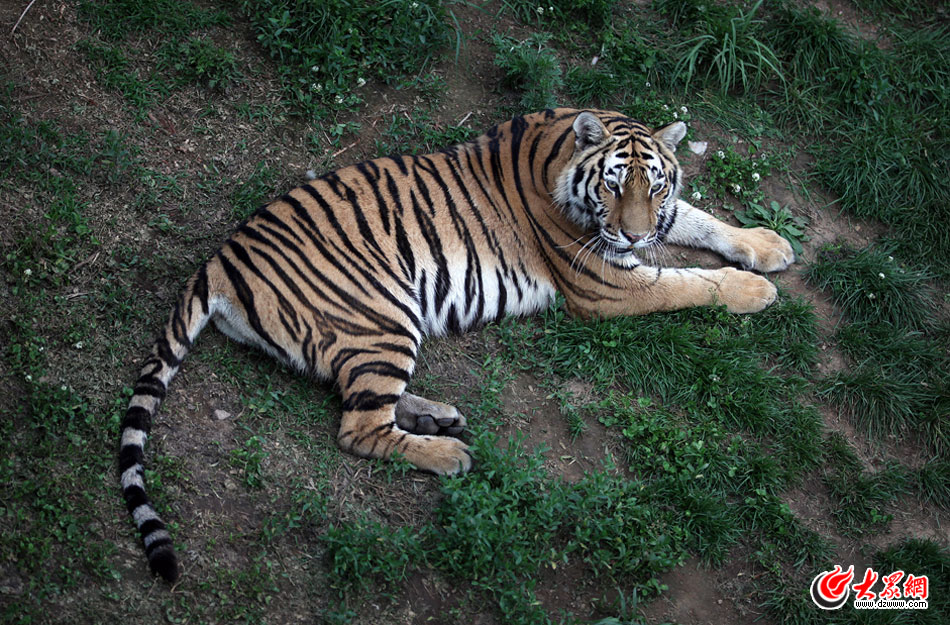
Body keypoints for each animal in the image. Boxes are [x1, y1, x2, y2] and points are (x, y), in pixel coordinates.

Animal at [119, 107, 796, 580]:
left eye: (653, 186)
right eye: (611, 185)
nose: (633, 235)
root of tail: (219, 259)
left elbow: (701, 219)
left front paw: (769, 245)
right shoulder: (604, 285)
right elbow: (688, 281)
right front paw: (753, 290)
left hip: (371, 330)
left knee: (355, 393)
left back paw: (439, 417)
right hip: (383, 314)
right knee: (358, 427)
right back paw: (451, 454)